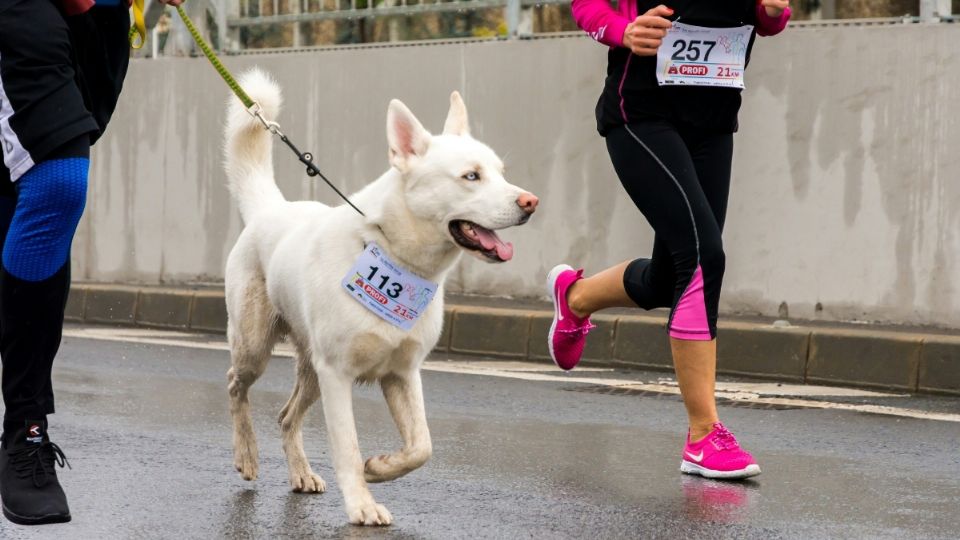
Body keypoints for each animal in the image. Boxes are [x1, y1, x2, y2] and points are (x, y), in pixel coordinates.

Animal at [220, 69, 536, 524]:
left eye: (501, 171)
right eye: (471, 176)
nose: (531, 202)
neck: (392, 252)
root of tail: (270, 209)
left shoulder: (403, 374)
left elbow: (422, 447)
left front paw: (381, 468)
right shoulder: (338, 375)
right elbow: (347, 448)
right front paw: (362, 505)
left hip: (311, 371)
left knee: (285, 416)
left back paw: (300, 472)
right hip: (256, 348)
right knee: (235, 386)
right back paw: (246, 453)